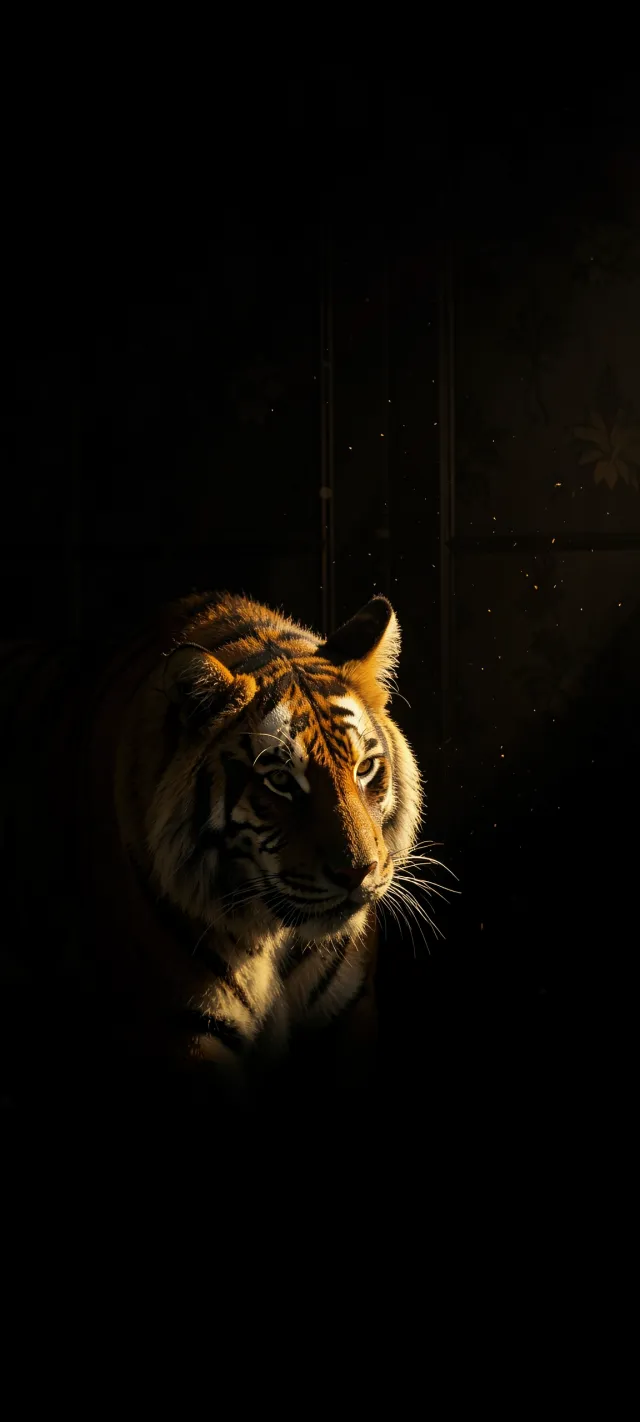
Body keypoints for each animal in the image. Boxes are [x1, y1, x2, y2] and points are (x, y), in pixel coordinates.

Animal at [0, 591, 422, 1112]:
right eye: (280, 781)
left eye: (365, 768)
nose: (359, 872)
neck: (274, 937)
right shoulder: (185, 1036)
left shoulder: (348, 1019)